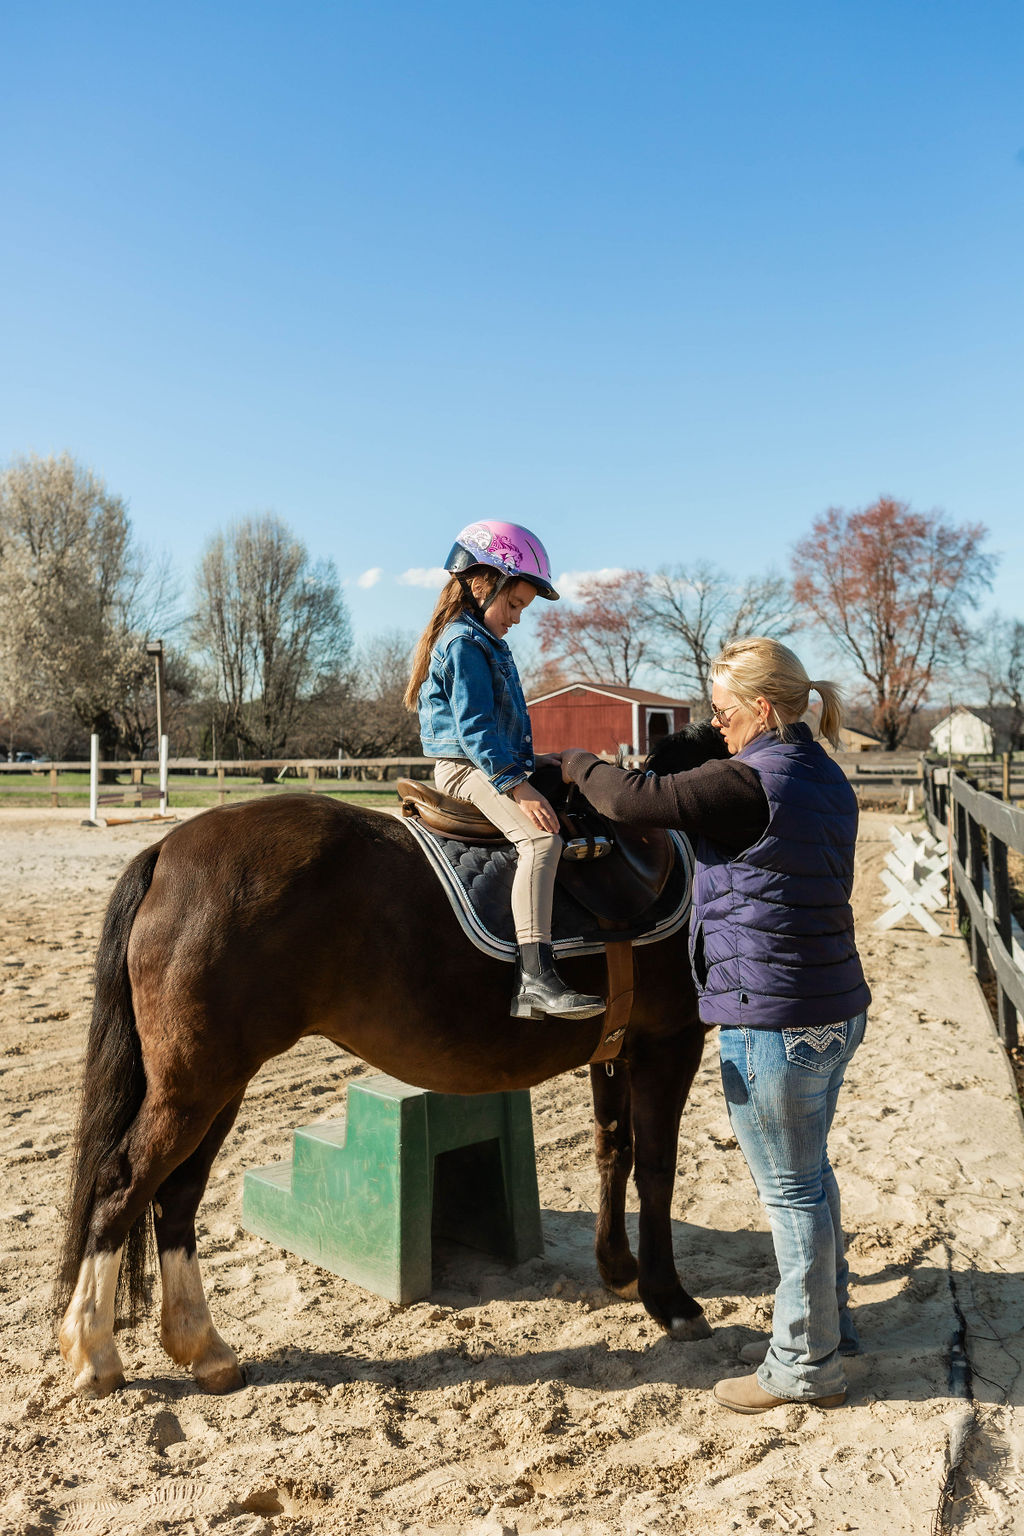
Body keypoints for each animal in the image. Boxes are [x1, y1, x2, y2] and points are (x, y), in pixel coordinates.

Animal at [55, 723, 728, 1397]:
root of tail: (168, 850)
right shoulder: (671, 1043)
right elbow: (657, 1170)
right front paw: (671, 1301)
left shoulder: (616, 1049)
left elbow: (613, 1152)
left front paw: (619, 1270)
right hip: (194, 1085)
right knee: (122, 1182)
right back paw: (94, 1352)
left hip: (219, 1085)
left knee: (178, 1193)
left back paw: (203, 1348)